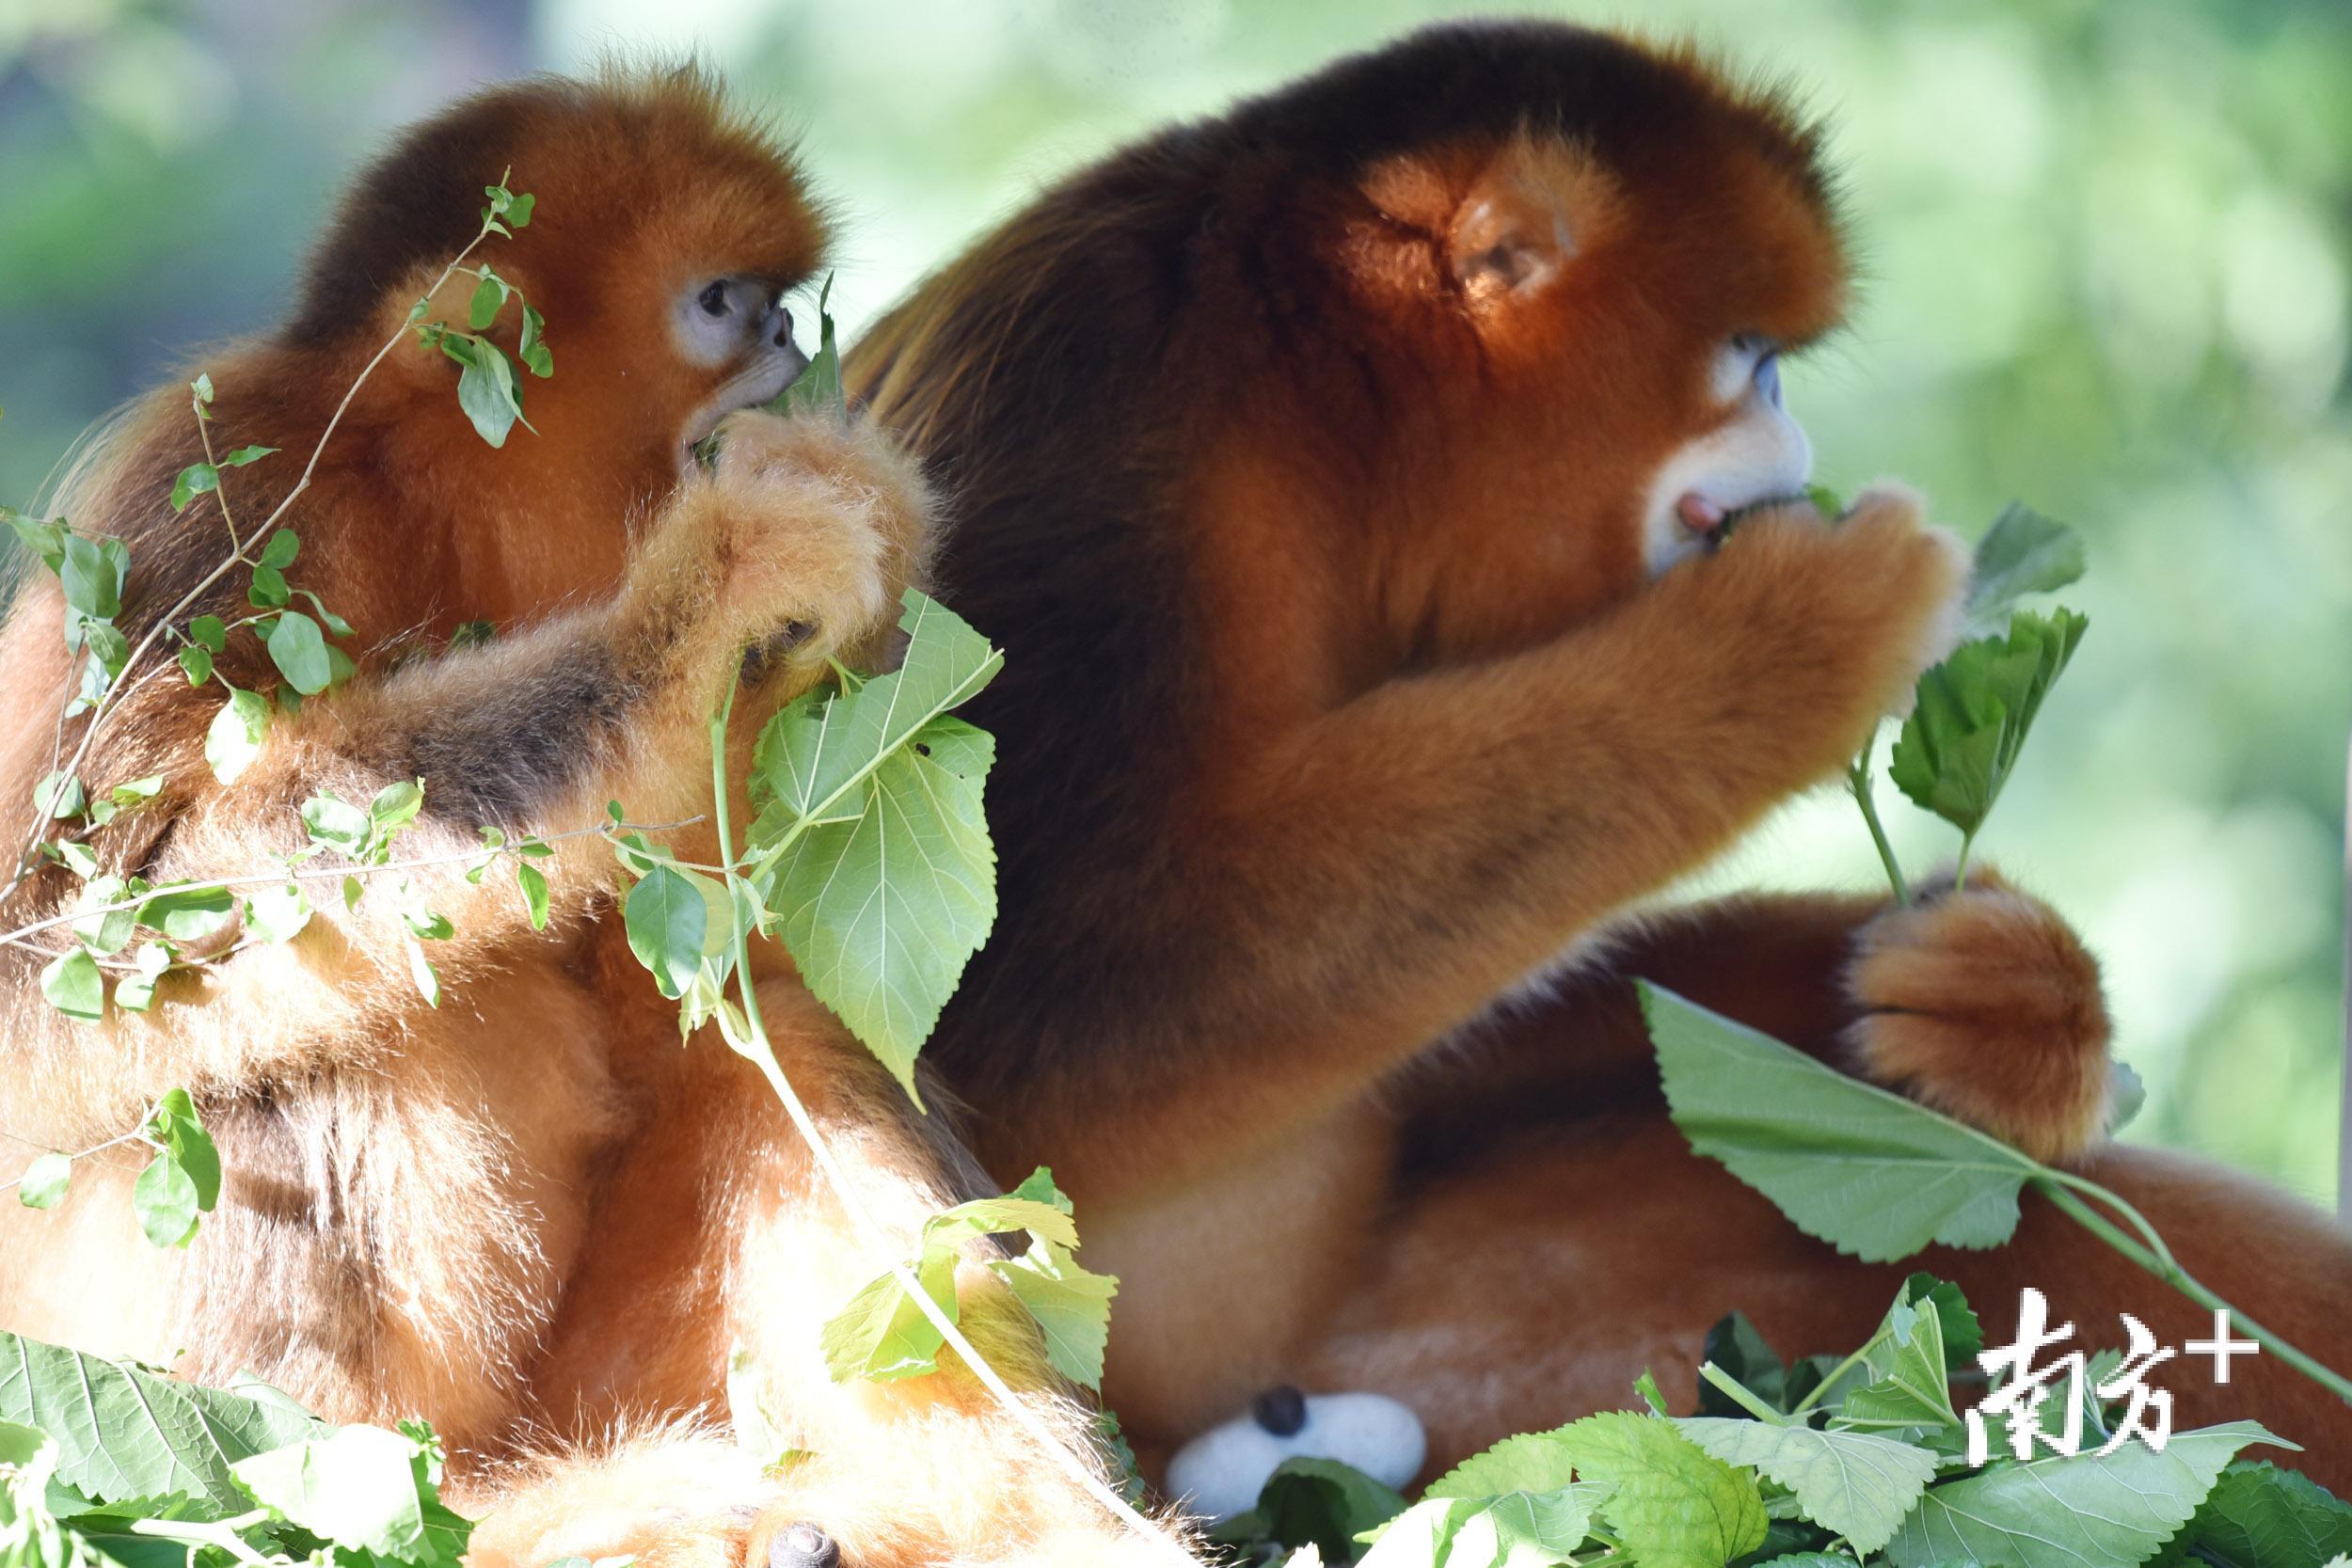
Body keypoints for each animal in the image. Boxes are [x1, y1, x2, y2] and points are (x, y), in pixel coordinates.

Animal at [847, 21, 2352, 1495]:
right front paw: (1792, 640)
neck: (1298, 402)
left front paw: (2013, 1005)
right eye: (1750, 355)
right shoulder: (1087, 441)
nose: (1798, 442)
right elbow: (1045, 1023)